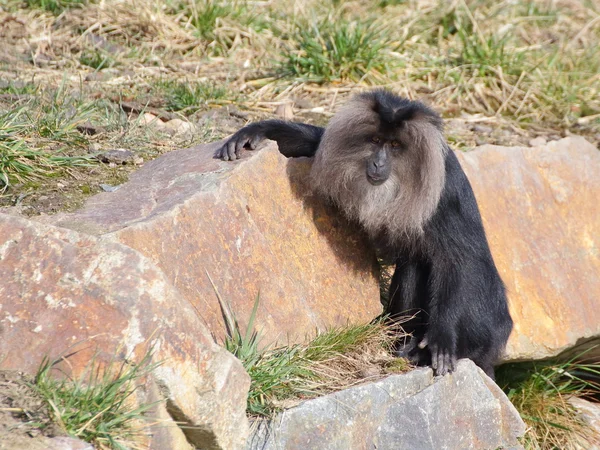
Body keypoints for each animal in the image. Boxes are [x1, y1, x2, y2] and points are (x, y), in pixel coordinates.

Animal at [213, 89, 512, 378]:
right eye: (376, 140)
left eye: (394, 146)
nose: (378, 163)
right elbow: (316, 143)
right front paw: (258, 131)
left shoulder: (444, 195)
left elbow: (459, 261)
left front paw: (441, 338)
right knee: (413, 263)